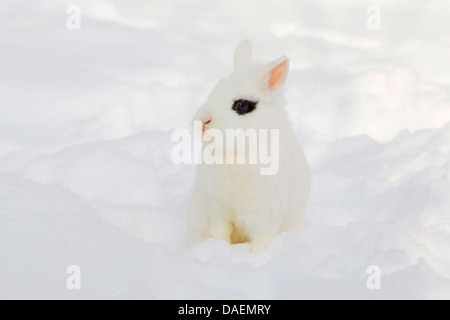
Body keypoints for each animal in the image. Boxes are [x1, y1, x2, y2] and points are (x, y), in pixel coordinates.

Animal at [186, 40, 310, 250]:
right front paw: (219, 249)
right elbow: (221, 233)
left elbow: (261, 239)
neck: (237, 154)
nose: (203, 121)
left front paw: (255, 255)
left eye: (242, 106)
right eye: (215, 90)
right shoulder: (218, 210)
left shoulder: (265, 215)